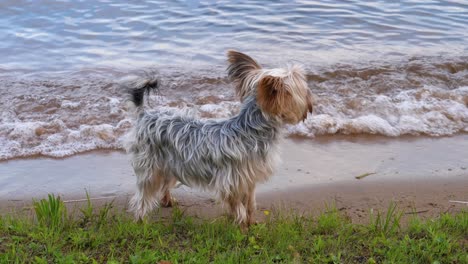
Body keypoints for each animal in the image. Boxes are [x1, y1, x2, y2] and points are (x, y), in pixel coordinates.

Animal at [124, 50, 314, 227]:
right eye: (302, 89)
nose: (311, 99)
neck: (252, 129)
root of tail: (145, 113)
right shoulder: (230, 182)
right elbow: (238, 206)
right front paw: (241, 225)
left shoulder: (249, 179)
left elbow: (250, 203)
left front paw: (251, 222)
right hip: (150, 165)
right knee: (142, 196)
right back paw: (141, 220)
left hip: (170, 162)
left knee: (164, 183)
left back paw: (167, 200)